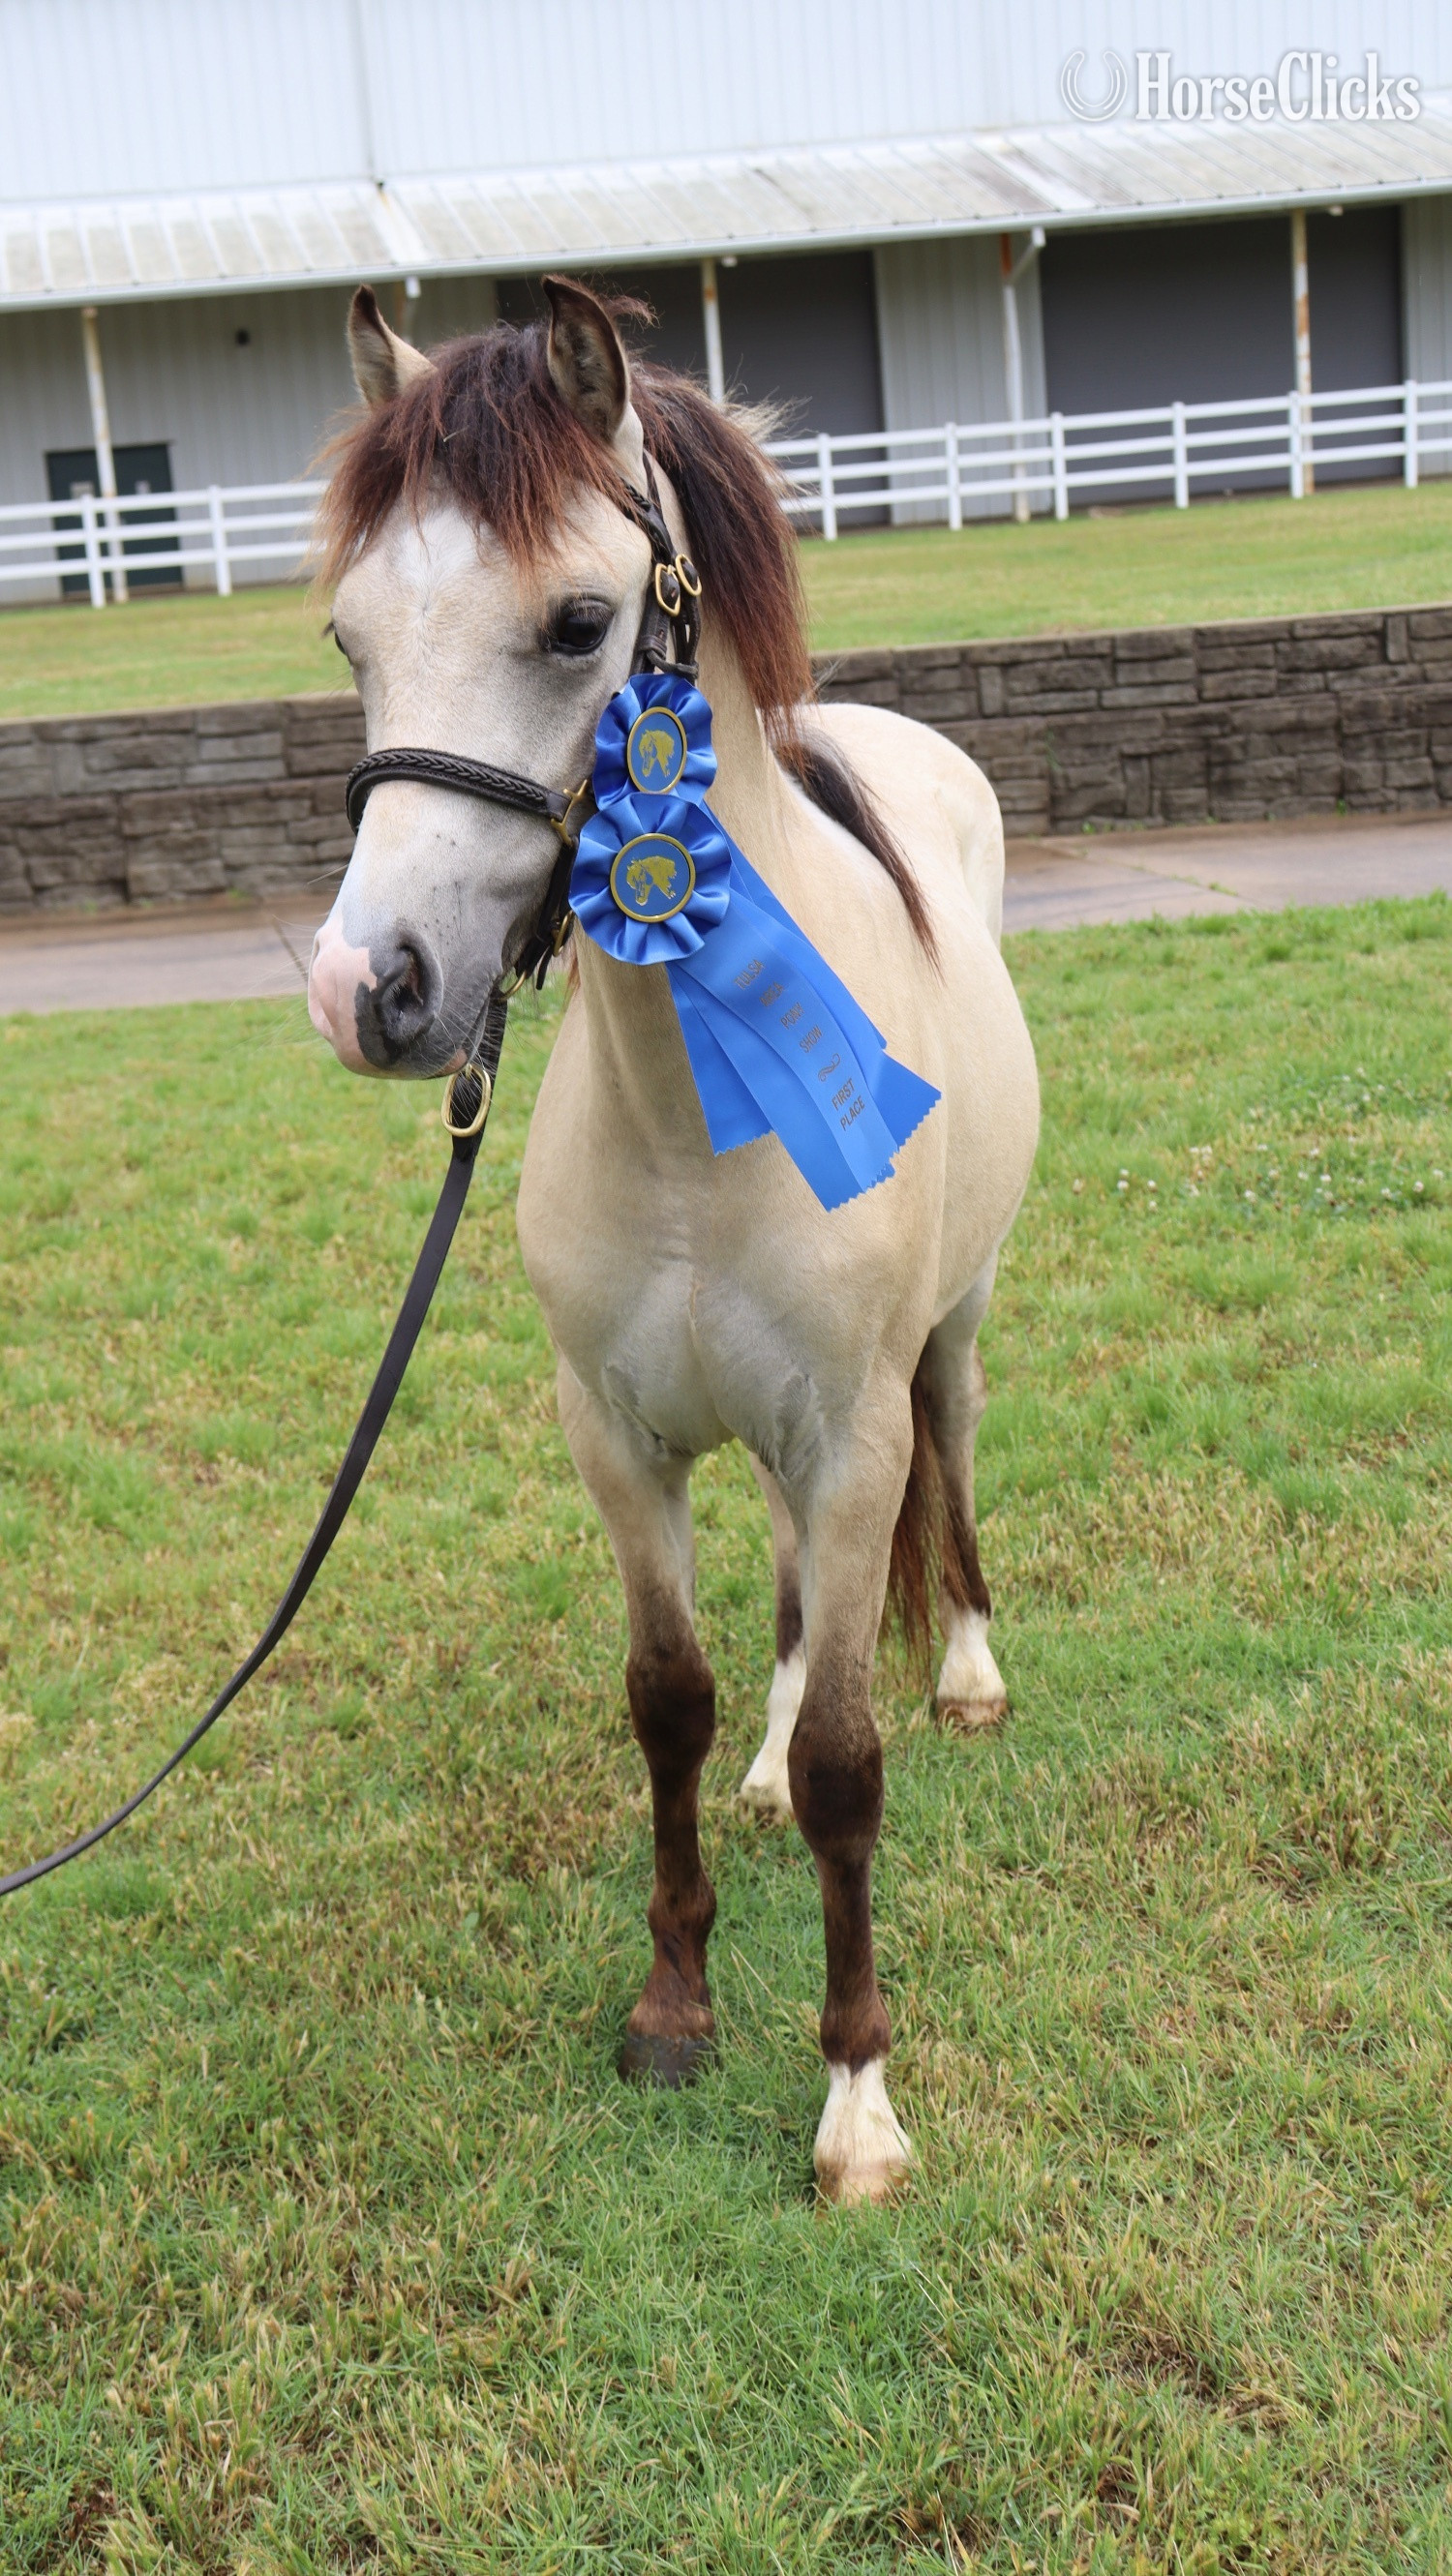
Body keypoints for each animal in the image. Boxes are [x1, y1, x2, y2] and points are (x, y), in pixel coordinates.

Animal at [307, 279, 1039, 2203]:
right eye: (347, 635)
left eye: (577, 623)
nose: (369, 989)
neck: (696, 1117)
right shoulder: (621, 1440)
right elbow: (672, 1698)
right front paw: (674, 2003)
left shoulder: (852, 1431)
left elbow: (858, 1758)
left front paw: (857, 2100)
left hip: (948, 1337)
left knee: (958, 1453)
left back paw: (972, 1671)